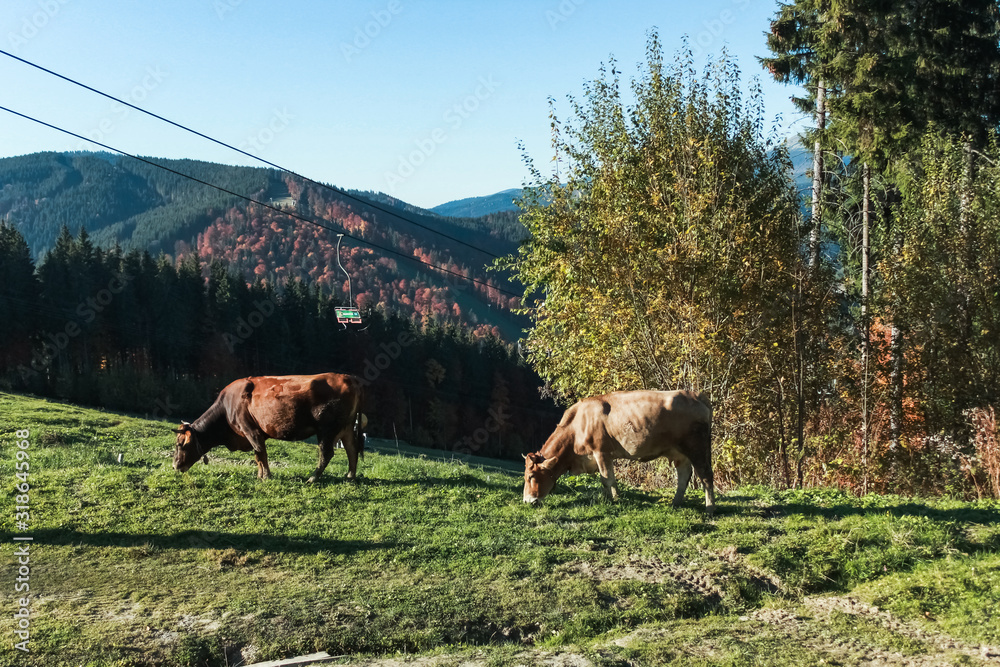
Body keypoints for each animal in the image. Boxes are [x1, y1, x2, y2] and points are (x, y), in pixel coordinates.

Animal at [172, 373, 365, 483]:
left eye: (180, 444)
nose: (175, 466)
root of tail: (348, 377)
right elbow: (258, 456)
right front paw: (260, 475)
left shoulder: (251, 430)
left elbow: (260, 453)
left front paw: (266, 476)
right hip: (347, 427)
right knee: (351, 449)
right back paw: (350, 476)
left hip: (326, 429)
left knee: (327, 453)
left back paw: (313, 478)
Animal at [522, 390, 715, 514]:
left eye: (531, 476)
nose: (527, 501)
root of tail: (695, 395)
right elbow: (607, 479)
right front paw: (608, 498)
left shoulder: (601, 452)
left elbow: (607, 478)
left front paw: (614, 500)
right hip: (680, 452)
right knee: (684, 475)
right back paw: (675, 503)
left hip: (697, 447)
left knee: (705, 475)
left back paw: (710, 508)